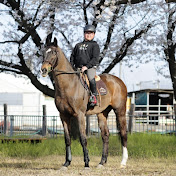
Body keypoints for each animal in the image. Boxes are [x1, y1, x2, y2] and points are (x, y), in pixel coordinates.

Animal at [40, 36, 129, 169]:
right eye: (44, 52)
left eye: (54, 52)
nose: (44, 70)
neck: (69, 85)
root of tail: (119, 81)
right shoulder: (63, 115)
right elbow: (67, 139)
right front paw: (66, 163)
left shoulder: (80, 115)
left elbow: (83, 138)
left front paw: (86, 163)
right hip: (102, 113)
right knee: (105, 135)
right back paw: (102, 162)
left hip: (120, 111)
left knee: (123, 134)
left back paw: (123, 162)